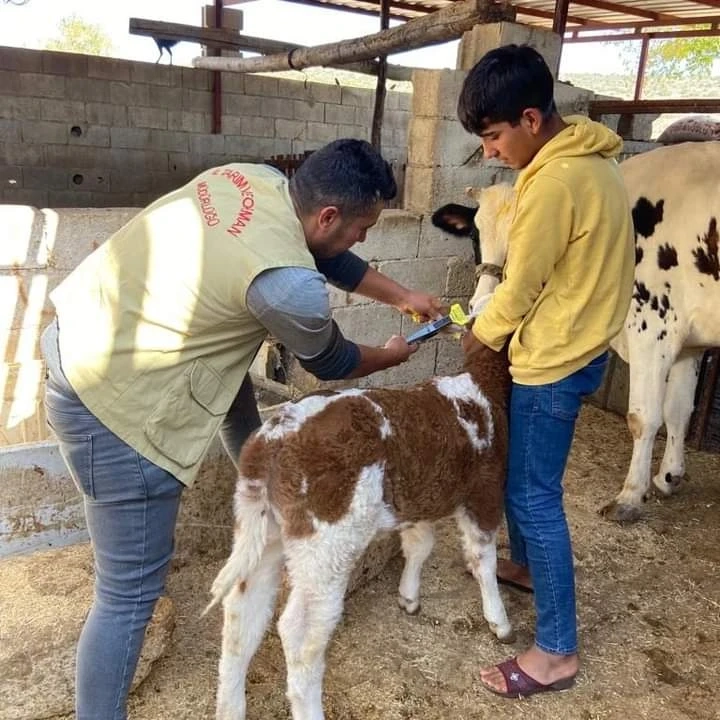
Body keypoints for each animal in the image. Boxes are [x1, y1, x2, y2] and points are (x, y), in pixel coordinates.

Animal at [208, 334, 512, 720]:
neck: (480, 385)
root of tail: (274, 437)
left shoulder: (420, 498)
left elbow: (420, 544)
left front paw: (409, 596)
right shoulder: (485, 491)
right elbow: (483, 558)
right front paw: (499, 620)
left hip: (264, 532)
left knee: (240, 616)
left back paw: (230, 708)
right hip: (326, 549)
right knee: (298, 634)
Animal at [430, 141, 720, 524]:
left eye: (530, 238)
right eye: (476, 235)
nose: (480, 305)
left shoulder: (652, 326)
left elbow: (643, 416)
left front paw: (630, 497)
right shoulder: (691, 342)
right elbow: (679, 410)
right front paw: (668, 477)